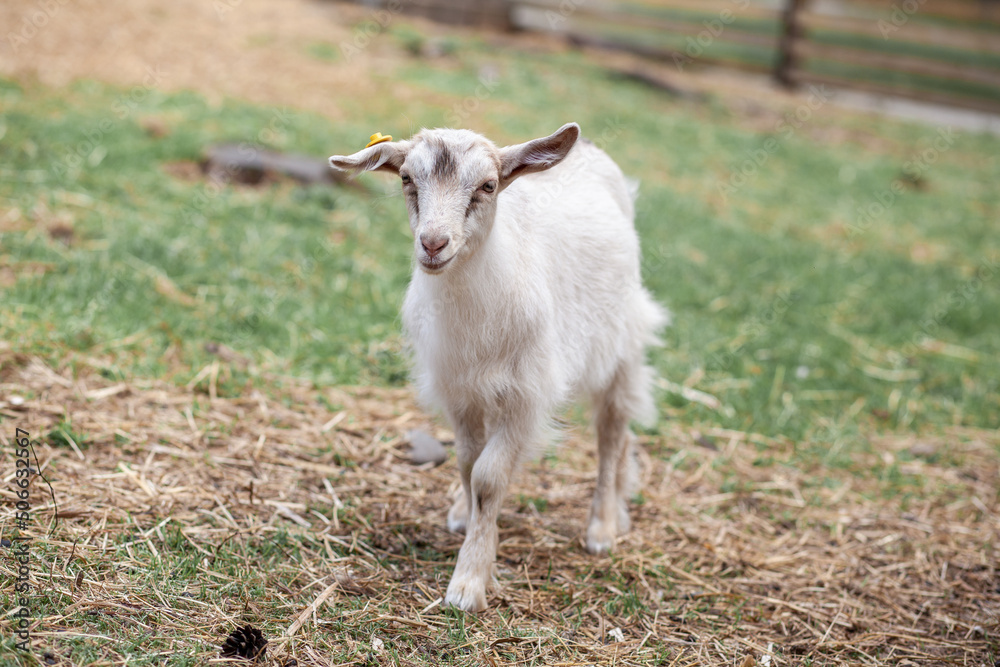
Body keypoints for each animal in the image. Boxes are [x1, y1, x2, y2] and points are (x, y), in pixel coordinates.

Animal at [329, 123, 667, 612]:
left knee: (613, 432)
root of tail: (586, 148)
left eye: (487, 186)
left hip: (622, 341)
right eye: (407, 178)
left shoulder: (526, 395)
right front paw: (472, 526)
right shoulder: (459, 389)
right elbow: (468, 464)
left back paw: (602, 526)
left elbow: (489, 478)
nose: (433, 243)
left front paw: (468, 583)